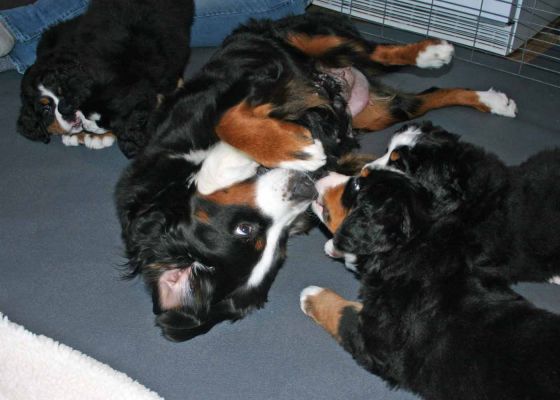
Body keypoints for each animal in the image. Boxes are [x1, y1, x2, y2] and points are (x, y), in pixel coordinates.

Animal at [116, 11, 520, 340]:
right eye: (275, 246)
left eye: (245, 230)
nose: (303, 187)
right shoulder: (344, 161)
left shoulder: (244, 84)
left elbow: (226, 118)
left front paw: (294, 147)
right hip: (375, 114)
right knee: (424, 98)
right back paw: (490, 99)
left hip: (307, 40)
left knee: (372, 50)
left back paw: (432, 52)